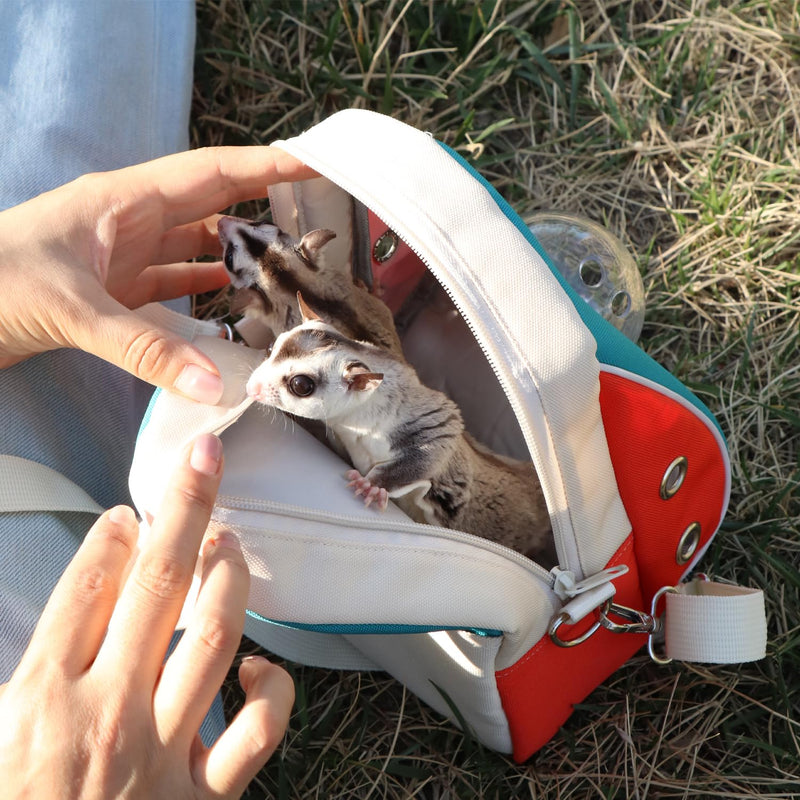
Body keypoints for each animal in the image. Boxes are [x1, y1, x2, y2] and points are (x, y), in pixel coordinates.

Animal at [246, 295, 556, 567]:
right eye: (272, 347)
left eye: (301, 385)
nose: (252, 389)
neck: (352, 421)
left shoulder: (427, 422)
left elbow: (436, 443)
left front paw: (372, 484)